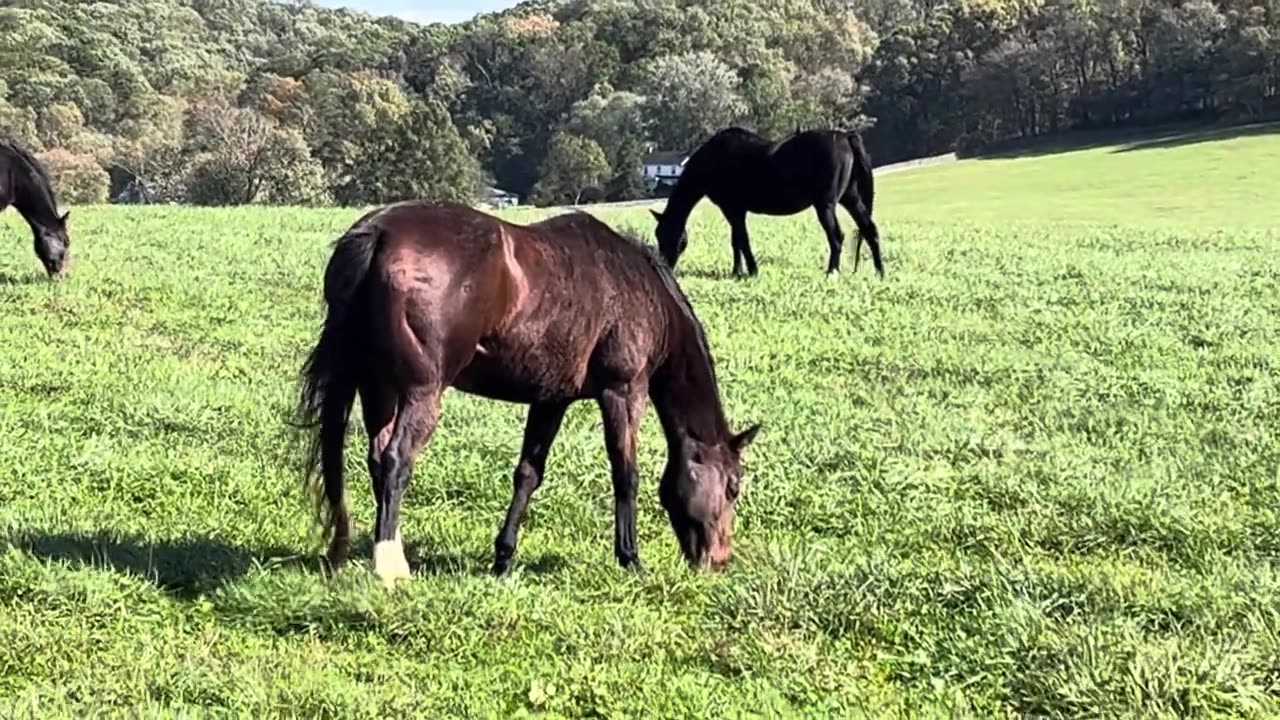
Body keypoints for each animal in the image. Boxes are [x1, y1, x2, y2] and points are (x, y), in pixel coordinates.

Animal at [295, 199, 757, 584]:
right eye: (733, 486)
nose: (719, 559)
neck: (640, 291)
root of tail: (379, 233)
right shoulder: (623, 392)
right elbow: (626, 474)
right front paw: (630, 557)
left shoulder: (551, 399)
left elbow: (528, 473)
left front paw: (503, 557)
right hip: (419, 394)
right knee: (395, 461)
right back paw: (391, 564)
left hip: (377, 388)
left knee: (377, 459)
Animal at [650, 126, 880, 278]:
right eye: (658, 235)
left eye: (671, 236)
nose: (665, 267)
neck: (713, 159)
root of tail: (845, 137)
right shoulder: (735, 211)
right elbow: (736, 241)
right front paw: (737, 271)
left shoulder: (733, 209)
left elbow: (742, 240)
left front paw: (752, 270)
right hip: (851, 198)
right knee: (870, 230)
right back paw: (880, 273)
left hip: (825, 205)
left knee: (836, 237)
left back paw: (832, 272)